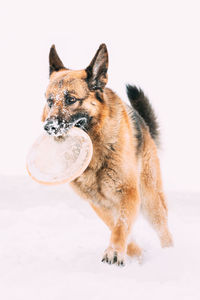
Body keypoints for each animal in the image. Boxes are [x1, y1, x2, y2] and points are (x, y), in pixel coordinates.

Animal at [41, 44, 173, 264]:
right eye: (50, 101)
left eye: (71, 100)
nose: (48, 127)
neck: (95, 154)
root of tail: (143, 124)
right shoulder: (99, 204)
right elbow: (118, 227)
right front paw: (133, 253)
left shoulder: (129, 193)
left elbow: (121, 225)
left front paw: (115, 251)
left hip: (150, 200)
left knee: (164, 230)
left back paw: (170, 254)